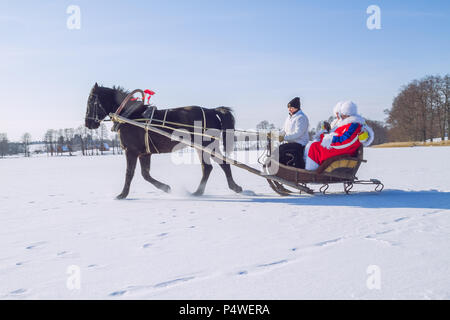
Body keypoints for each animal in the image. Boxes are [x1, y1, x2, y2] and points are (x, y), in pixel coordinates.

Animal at [84, 82, 243, 198]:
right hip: (202, 147)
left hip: (207, 145)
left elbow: (130, 173)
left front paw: (122, 194)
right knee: (211, 167)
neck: (130, 116)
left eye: (91, 101)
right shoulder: (144, 153)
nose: (88, 123)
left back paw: (228, 188)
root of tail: (212, 110)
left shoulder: (131, 151)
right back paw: (206, 191)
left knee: (219, 165)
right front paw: (166, 187)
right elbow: (145, 174)